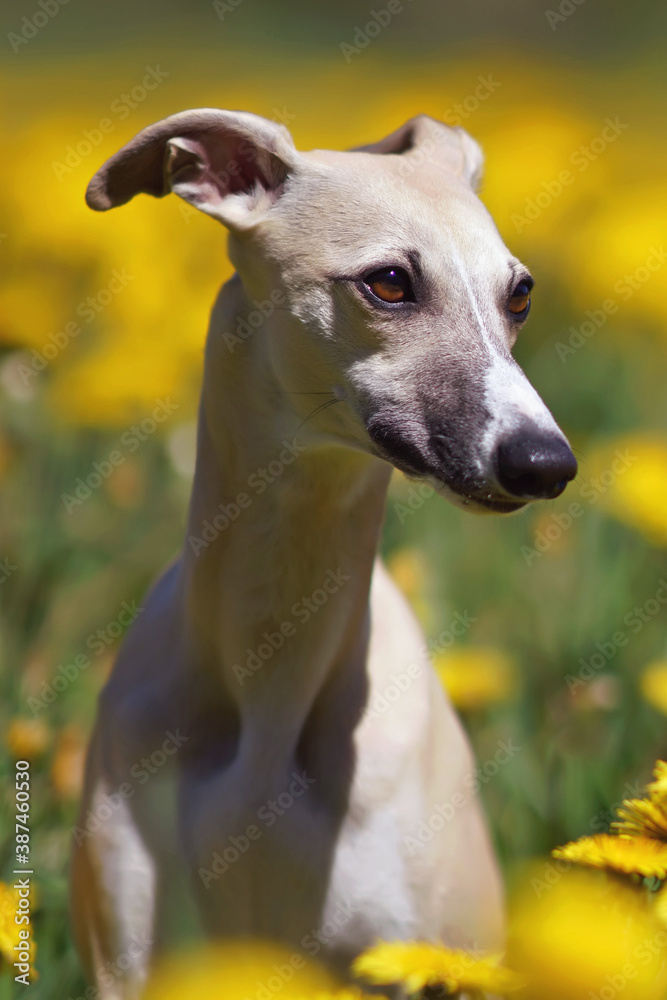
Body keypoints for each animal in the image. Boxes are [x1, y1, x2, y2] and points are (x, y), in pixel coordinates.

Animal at [70, 109, 576, 992]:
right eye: (389, 282)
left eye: (518, 293)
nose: (544, 462)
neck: (272, 683)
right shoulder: (129, 961)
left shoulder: (416, 954)